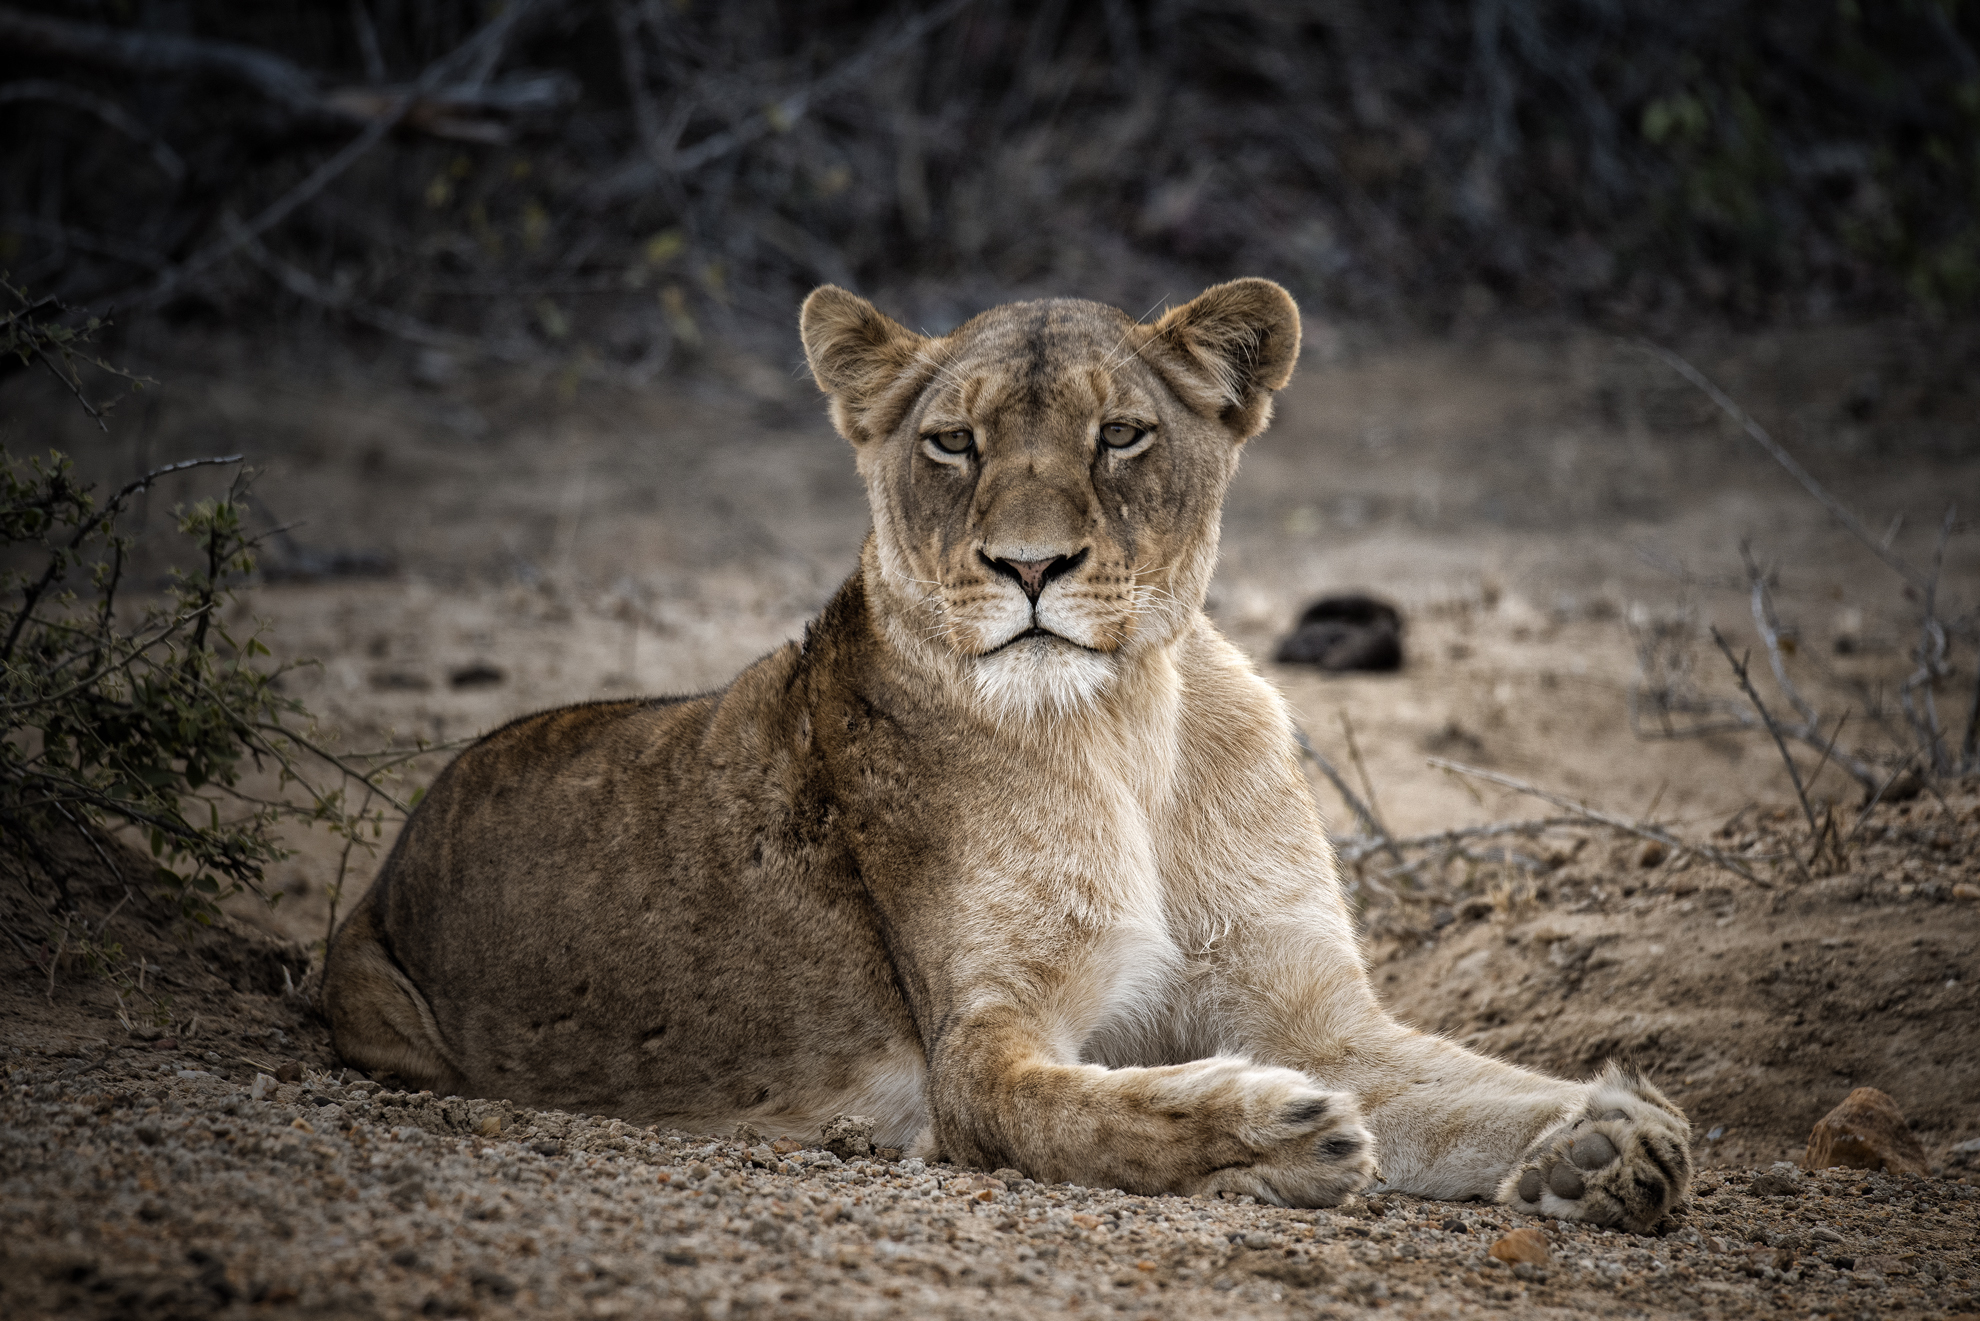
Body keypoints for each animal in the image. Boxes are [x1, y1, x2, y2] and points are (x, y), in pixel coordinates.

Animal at [322, 278, 1690, 1229]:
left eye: (1122, 435)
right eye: (953, 443)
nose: (1030, 567)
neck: (1125, 732)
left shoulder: (1313, 1011)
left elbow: (1466, 1085)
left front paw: (1606, 1138)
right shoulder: (976, 1048)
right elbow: (1090, 1110)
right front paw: (1272, 1136)